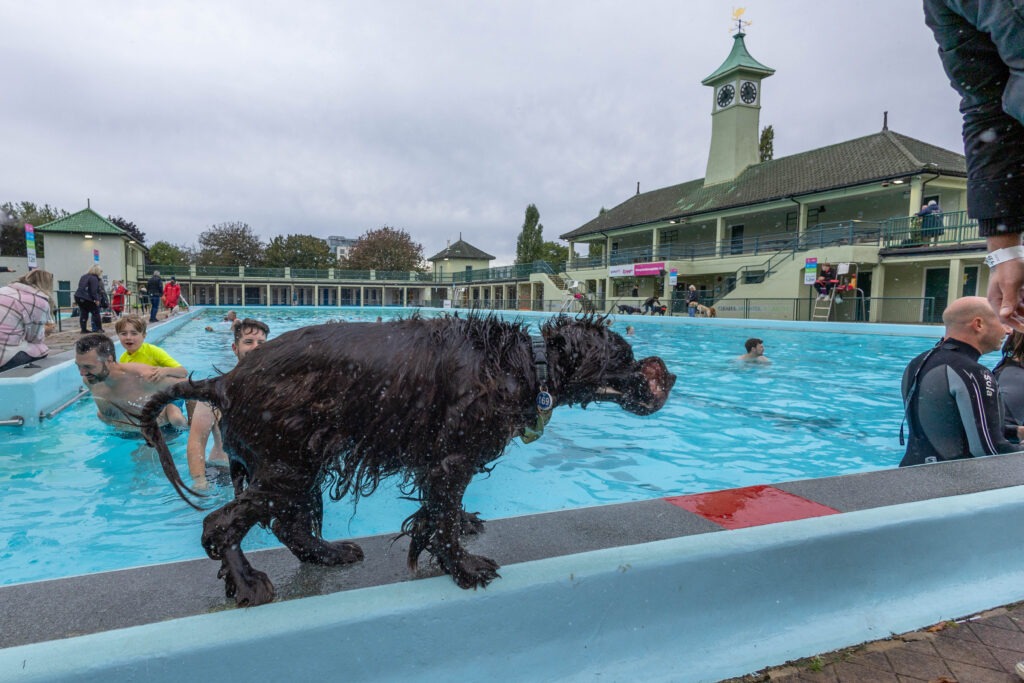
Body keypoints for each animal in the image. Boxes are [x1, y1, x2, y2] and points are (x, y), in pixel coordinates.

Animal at [142, 313, 671, 606]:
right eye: (624, 356)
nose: (665, 377)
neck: (524, 362)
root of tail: (226, 380)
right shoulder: (452, 459)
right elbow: (441, 517)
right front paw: (465, 568)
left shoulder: (434, 459)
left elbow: (440, 514)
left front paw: (464, 526)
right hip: (289, 464)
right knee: (221, 524)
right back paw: (248, 582)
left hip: (298, 463)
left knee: (285, 525)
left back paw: (328, 554)